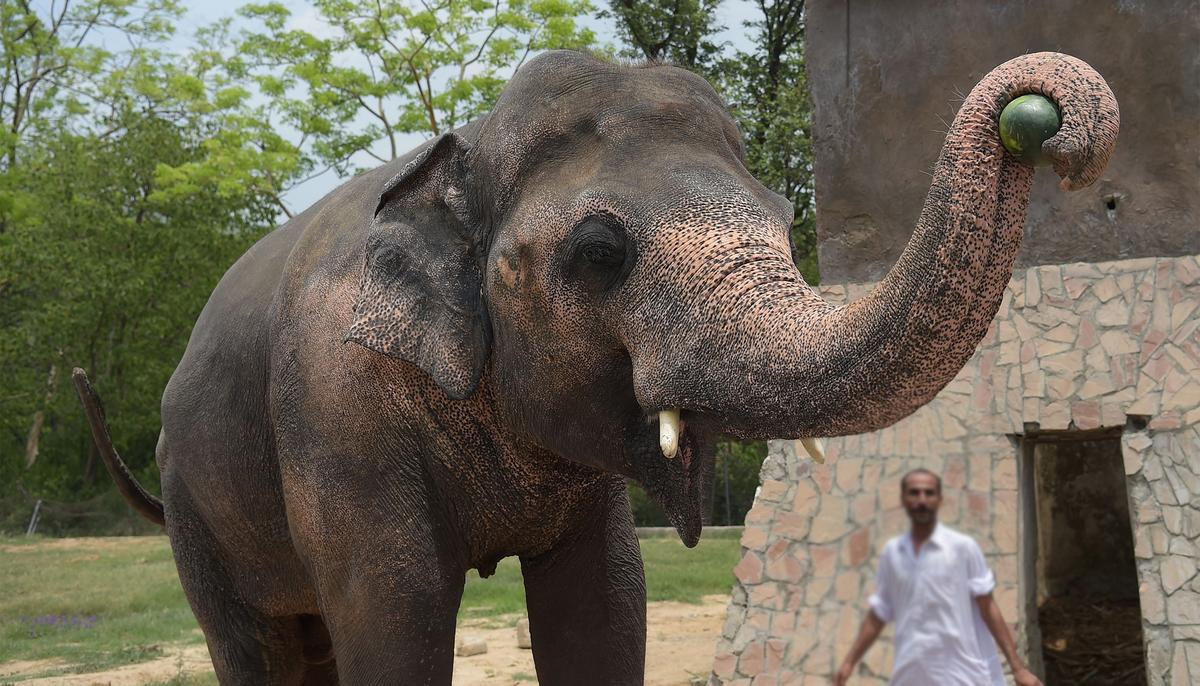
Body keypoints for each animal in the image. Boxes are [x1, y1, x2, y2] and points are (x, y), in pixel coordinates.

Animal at [74, 49, 1117, 685]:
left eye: (786, 219)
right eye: (600, 253)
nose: (1045, 125)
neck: (464, 147)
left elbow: (607, 607)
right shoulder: (337, 414)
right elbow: (398, 617)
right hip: (196, 499)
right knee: (259, 648)